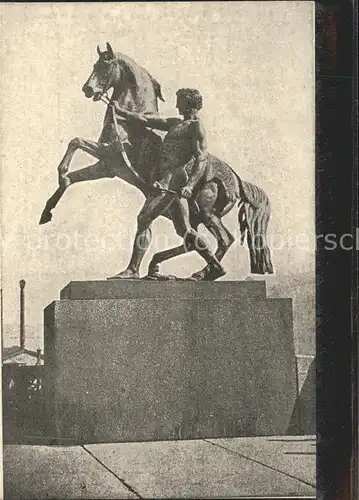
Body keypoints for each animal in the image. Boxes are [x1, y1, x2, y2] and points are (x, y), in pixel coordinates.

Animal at [39, 42, 274, 278]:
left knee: (219, 238)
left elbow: (75, 142)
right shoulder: (107, 166)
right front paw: (47, 211)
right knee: (190, 237)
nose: (88, 89)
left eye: (105, 66)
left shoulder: (110, 156)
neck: (131, 122)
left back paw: (203, 272)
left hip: (204, 211)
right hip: (186, 211)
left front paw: (59, 176)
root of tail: (237, 180)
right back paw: (172, 269)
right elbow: (72, 172)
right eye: (95, 65)